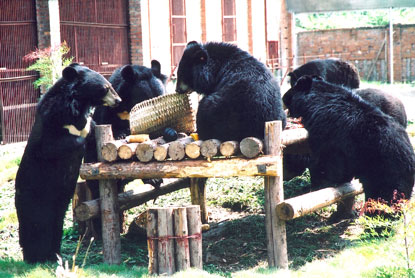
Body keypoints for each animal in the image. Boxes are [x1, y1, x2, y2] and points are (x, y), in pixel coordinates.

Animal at [14, 63, 121, 262]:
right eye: (105, 88)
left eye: (110, 85)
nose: (118, 100)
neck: (77, 105)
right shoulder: (52, 124)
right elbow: (54, 147)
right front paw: (79, 140)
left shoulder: (88, 122)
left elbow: (93, 134)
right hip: (35, 197)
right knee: (36, 225)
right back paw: (35, 257)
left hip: (59, 204)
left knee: (56, 225)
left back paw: (55, 255)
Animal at [282, 75, 415, 203]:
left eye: (290, 92)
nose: (283, 97)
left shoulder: (329, 134)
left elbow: (327, 162)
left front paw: (319, 184)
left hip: (385, 167)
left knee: (386, 193)